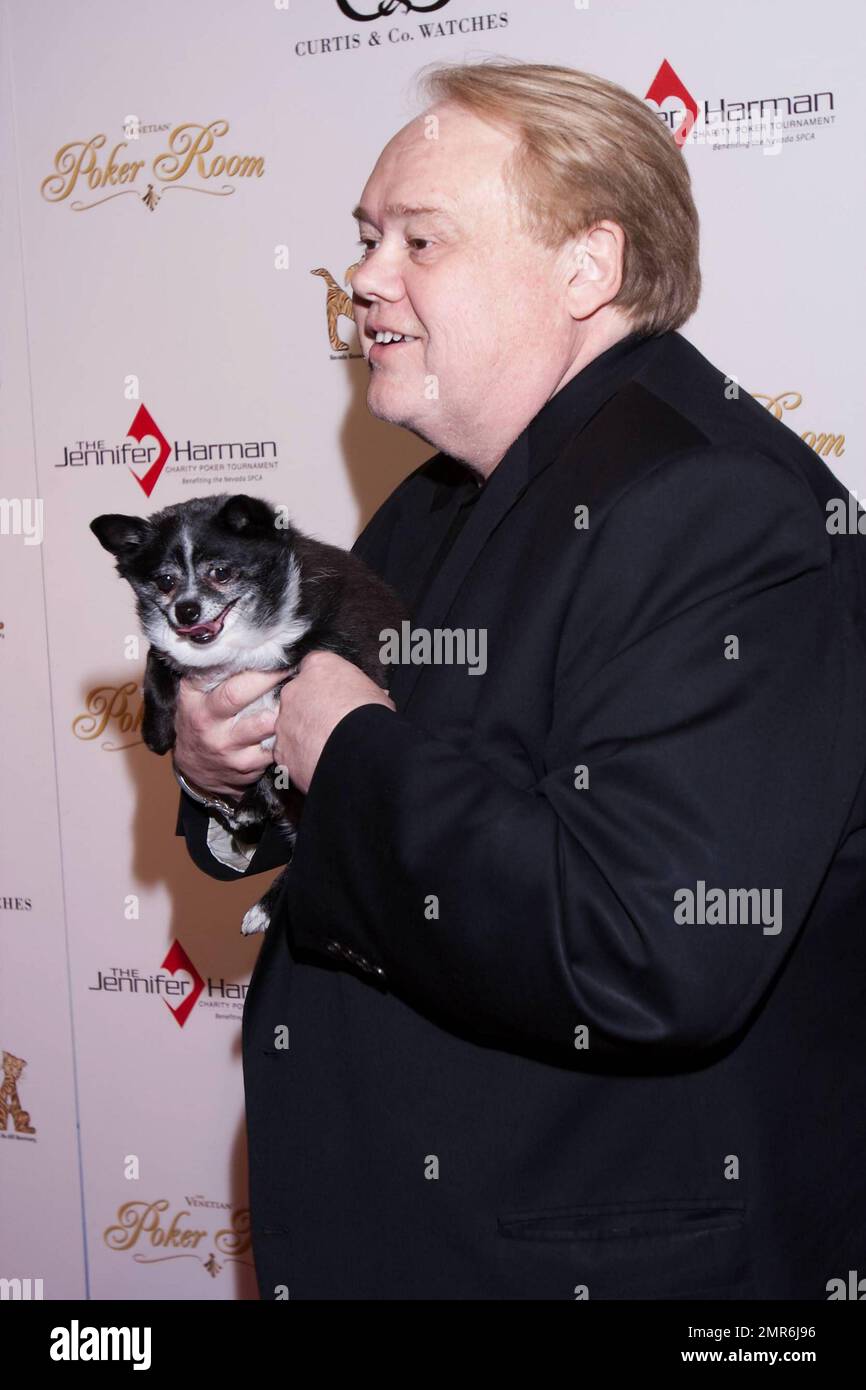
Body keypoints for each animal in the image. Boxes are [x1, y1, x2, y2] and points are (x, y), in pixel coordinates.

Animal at [93, 494, 405, 939]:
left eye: (222, 573)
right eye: (165, 581)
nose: (186, 611)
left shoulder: (351, 649)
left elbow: (286, 692)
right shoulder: (171, 656)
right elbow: (158, 662)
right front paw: (156, 730)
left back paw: (267, 902)